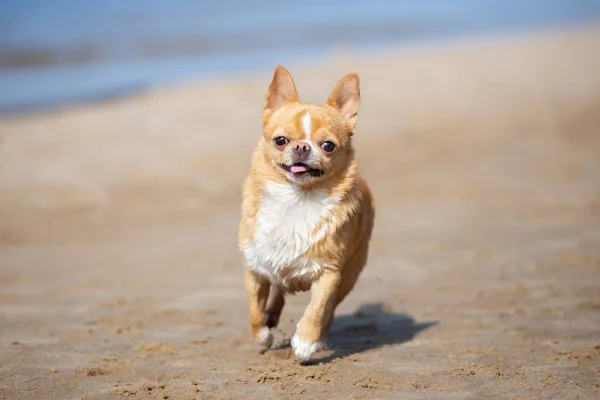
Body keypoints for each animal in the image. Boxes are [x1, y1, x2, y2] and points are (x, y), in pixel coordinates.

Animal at [237, 65, 372, 360]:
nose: (301, 146)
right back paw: (271, 317)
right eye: (280, 141)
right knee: (278, 289)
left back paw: (318, 338)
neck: (297, 199)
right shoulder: (255, 268)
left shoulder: (329, 273)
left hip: (350, 273)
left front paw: (306, 341)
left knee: (329, 309)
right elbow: (253, 309)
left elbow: (317, 308)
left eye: (328, 146)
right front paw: (263, 332)